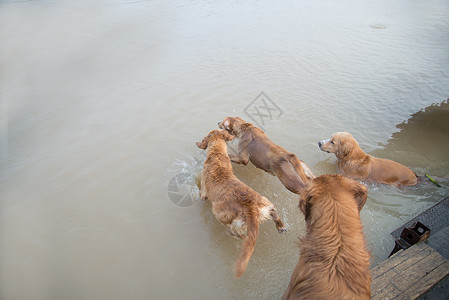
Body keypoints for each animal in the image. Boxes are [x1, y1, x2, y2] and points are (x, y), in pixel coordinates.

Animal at [196, 130, 288, 278]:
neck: (217, 155)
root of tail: (251, 210)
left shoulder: (204, 191)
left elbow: (201, 194)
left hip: (219, 212)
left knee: (238, 233)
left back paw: (232, 233)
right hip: (265, 202)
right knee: (274, 213)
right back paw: (281, 227)